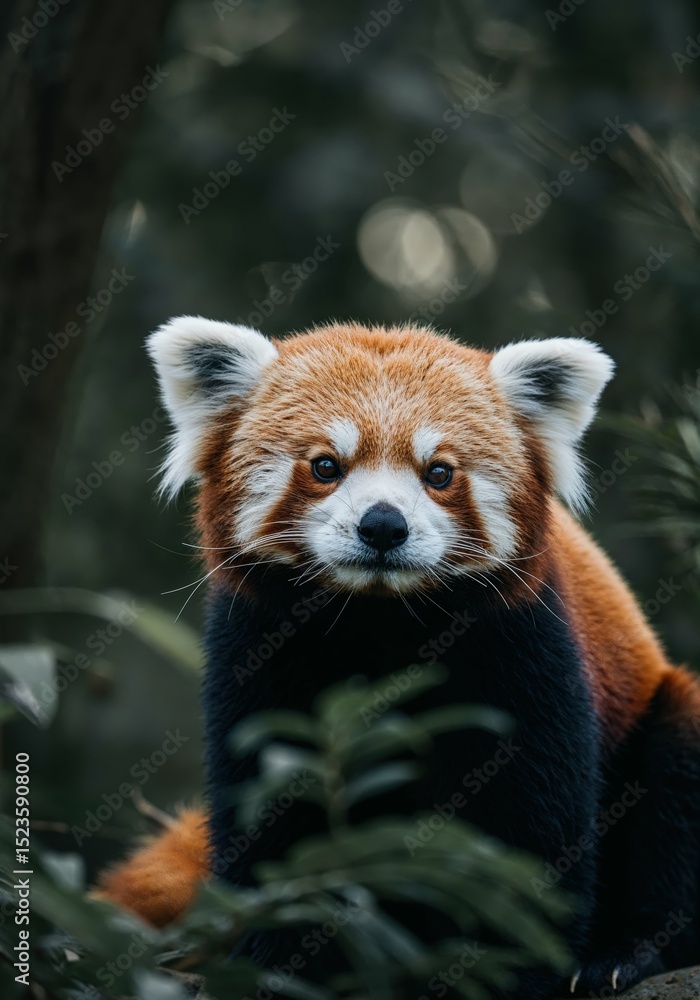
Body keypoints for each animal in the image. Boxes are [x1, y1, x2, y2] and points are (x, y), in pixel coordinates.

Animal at [97, 317, 700, 998]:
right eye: (325, 465)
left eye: (438, 472)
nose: (383, 524)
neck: (378, 620)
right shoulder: (256, 652)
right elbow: (272, 825)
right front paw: (279, 965)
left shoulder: (525, 649)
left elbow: (531, 831)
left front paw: (510, 972)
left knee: (673, 789)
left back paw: (628, 953)